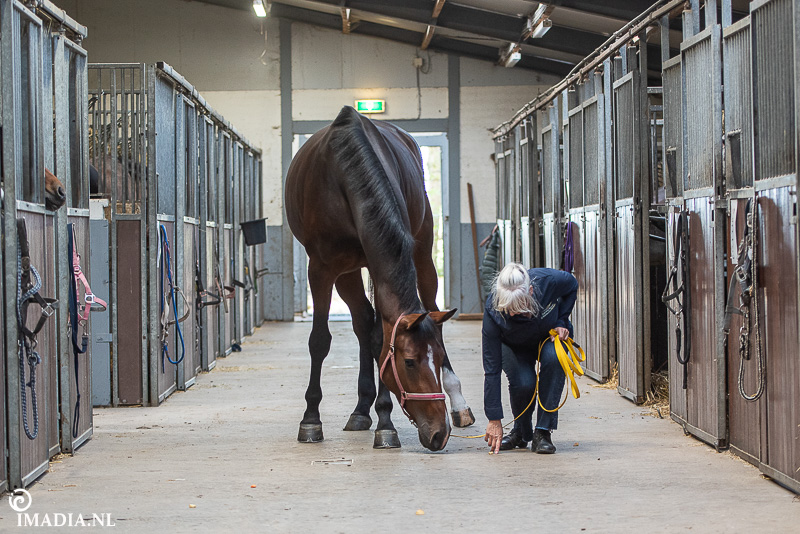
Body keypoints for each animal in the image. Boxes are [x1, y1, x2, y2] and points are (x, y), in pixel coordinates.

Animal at [285, 106, 474, 451]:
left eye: (438, 359)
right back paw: (361, 410)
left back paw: (457, 403)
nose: (439, 434)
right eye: (409, 362)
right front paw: (311, 419)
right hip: (346, 273)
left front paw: (386, 423)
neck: (344, 171)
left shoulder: (378, 259)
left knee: (425, 309)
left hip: (423, 253)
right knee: (362, 319)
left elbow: (380, 338)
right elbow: (321, 340)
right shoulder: (322, 268)